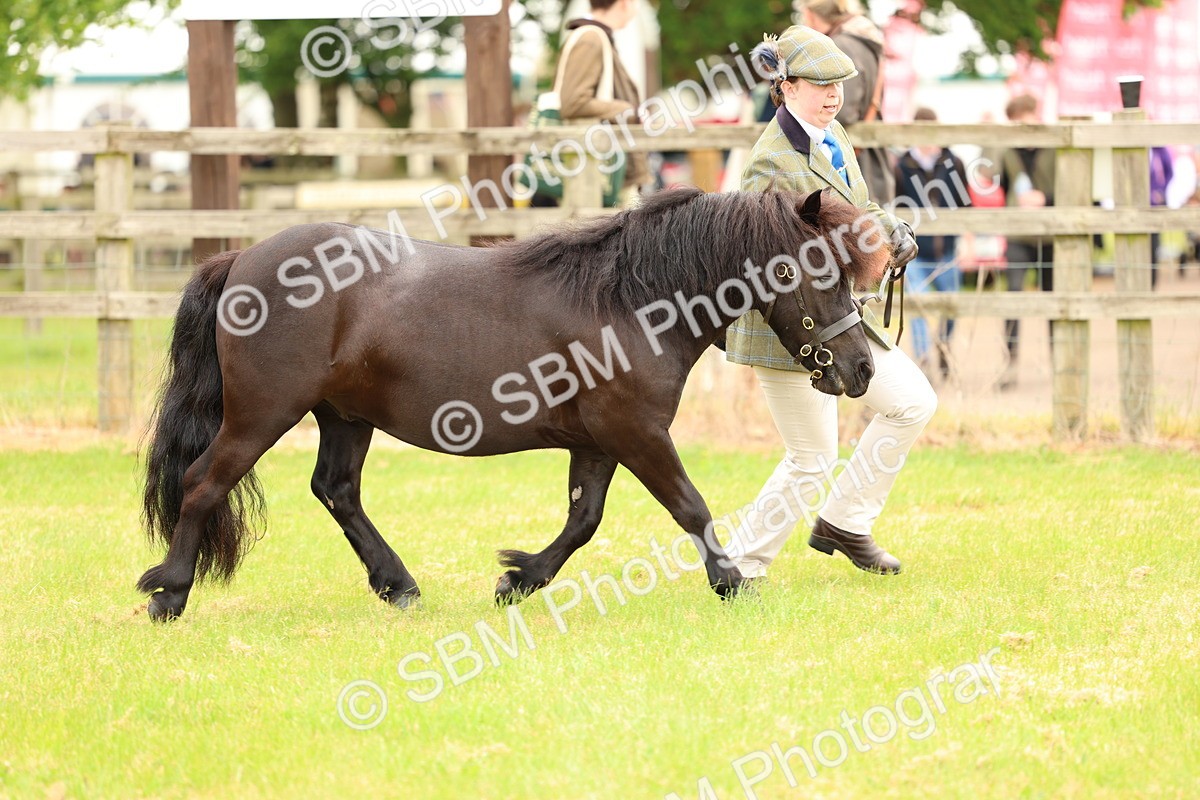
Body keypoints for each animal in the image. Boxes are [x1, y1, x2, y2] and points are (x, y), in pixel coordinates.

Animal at [138, 186, 891, 621]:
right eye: (819, 271)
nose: (861, 369)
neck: (630, 300)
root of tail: (240, 259)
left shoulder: (599, 442)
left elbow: (583, 520)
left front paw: (519, 579)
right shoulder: (638, 433)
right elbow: (691, 507)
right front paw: (731, 582)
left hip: (345, 417)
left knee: (337, 490)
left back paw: (398, 584)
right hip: (263, 414)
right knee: (204, 482)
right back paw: (170, 592)